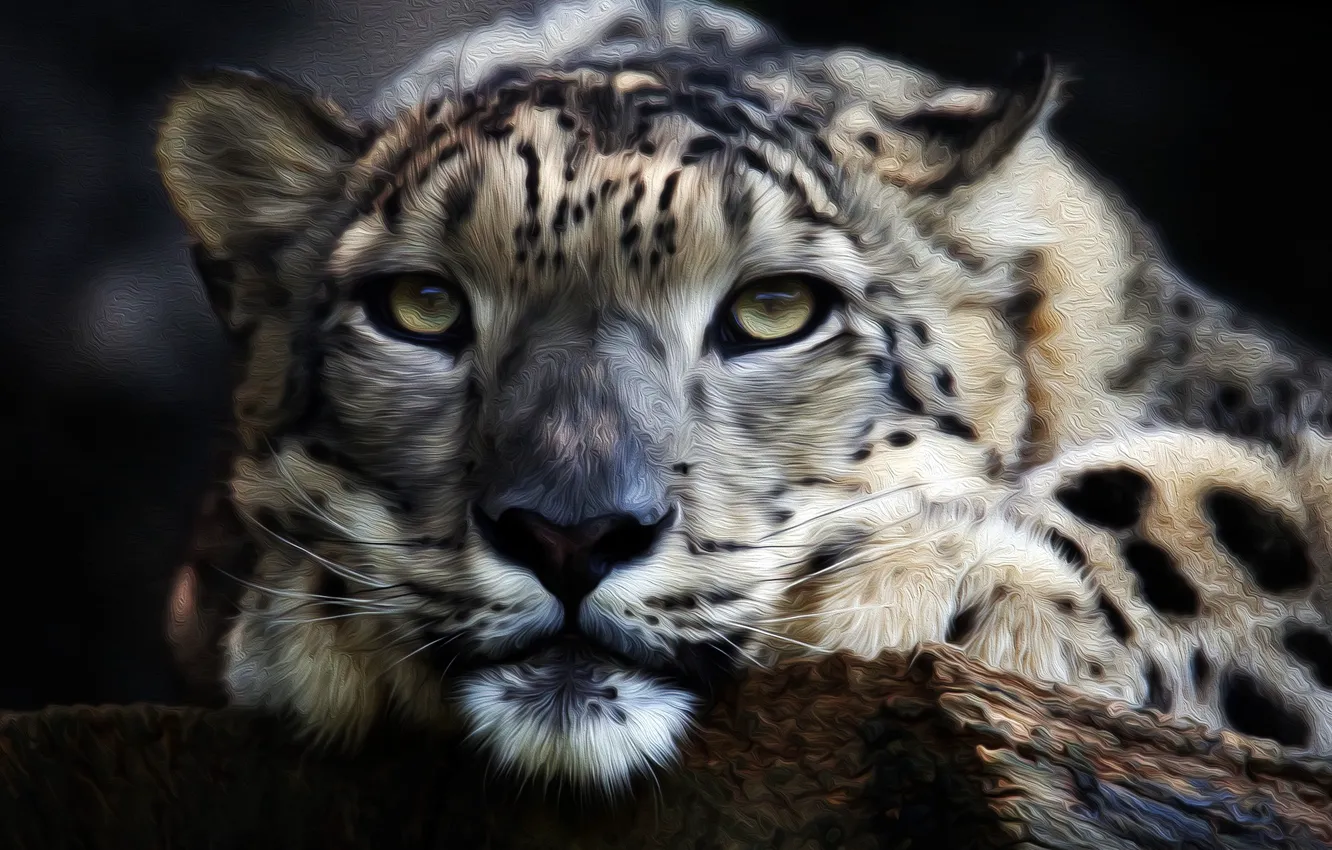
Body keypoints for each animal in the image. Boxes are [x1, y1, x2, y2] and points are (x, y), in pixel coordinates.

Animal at [155, 0, 1332, 794]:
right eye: (421, 306)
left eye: (774, 309)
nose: (570, 534)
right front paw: (323, 624)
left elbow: (1234, 513)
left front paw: (957, 574)